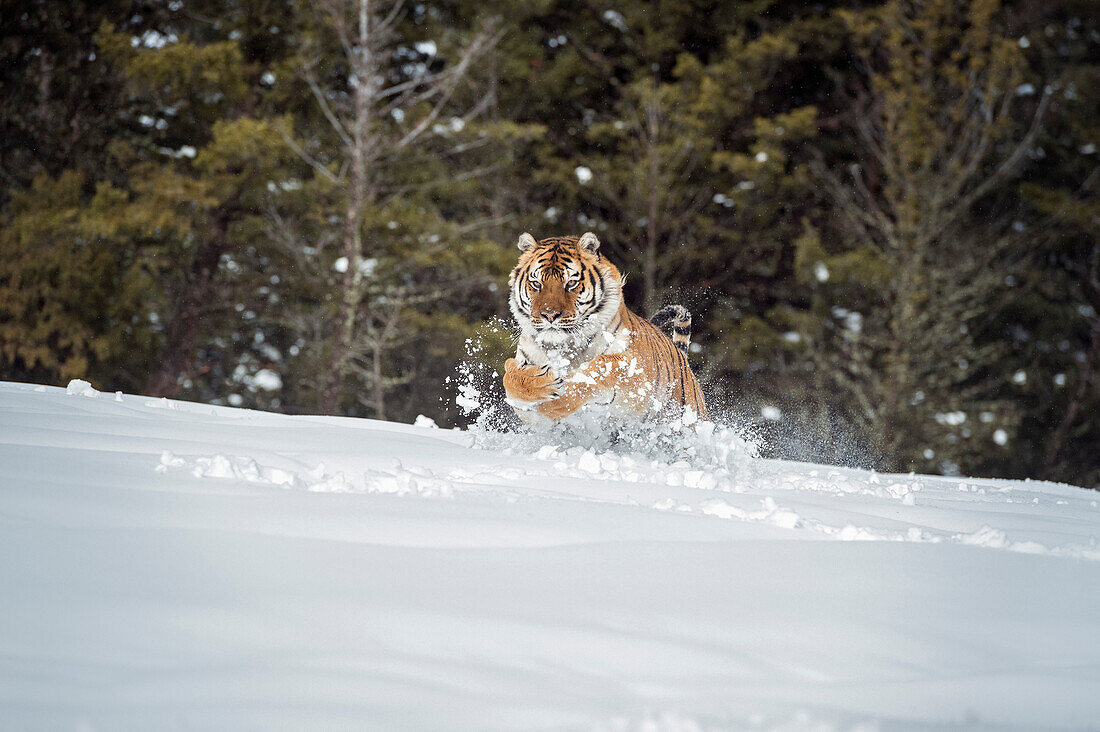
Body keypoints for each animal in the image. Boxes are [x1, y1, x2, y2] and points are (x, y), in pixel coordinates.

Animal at [503, 228, 708, 422]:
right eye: (536, 284)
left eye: (571, 283)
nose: (549, 315)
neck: (566, 346)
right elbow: (509, 374)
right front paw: (539, 382)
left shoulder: (638, 373)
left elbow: (601, 366)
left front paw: (556, 403)